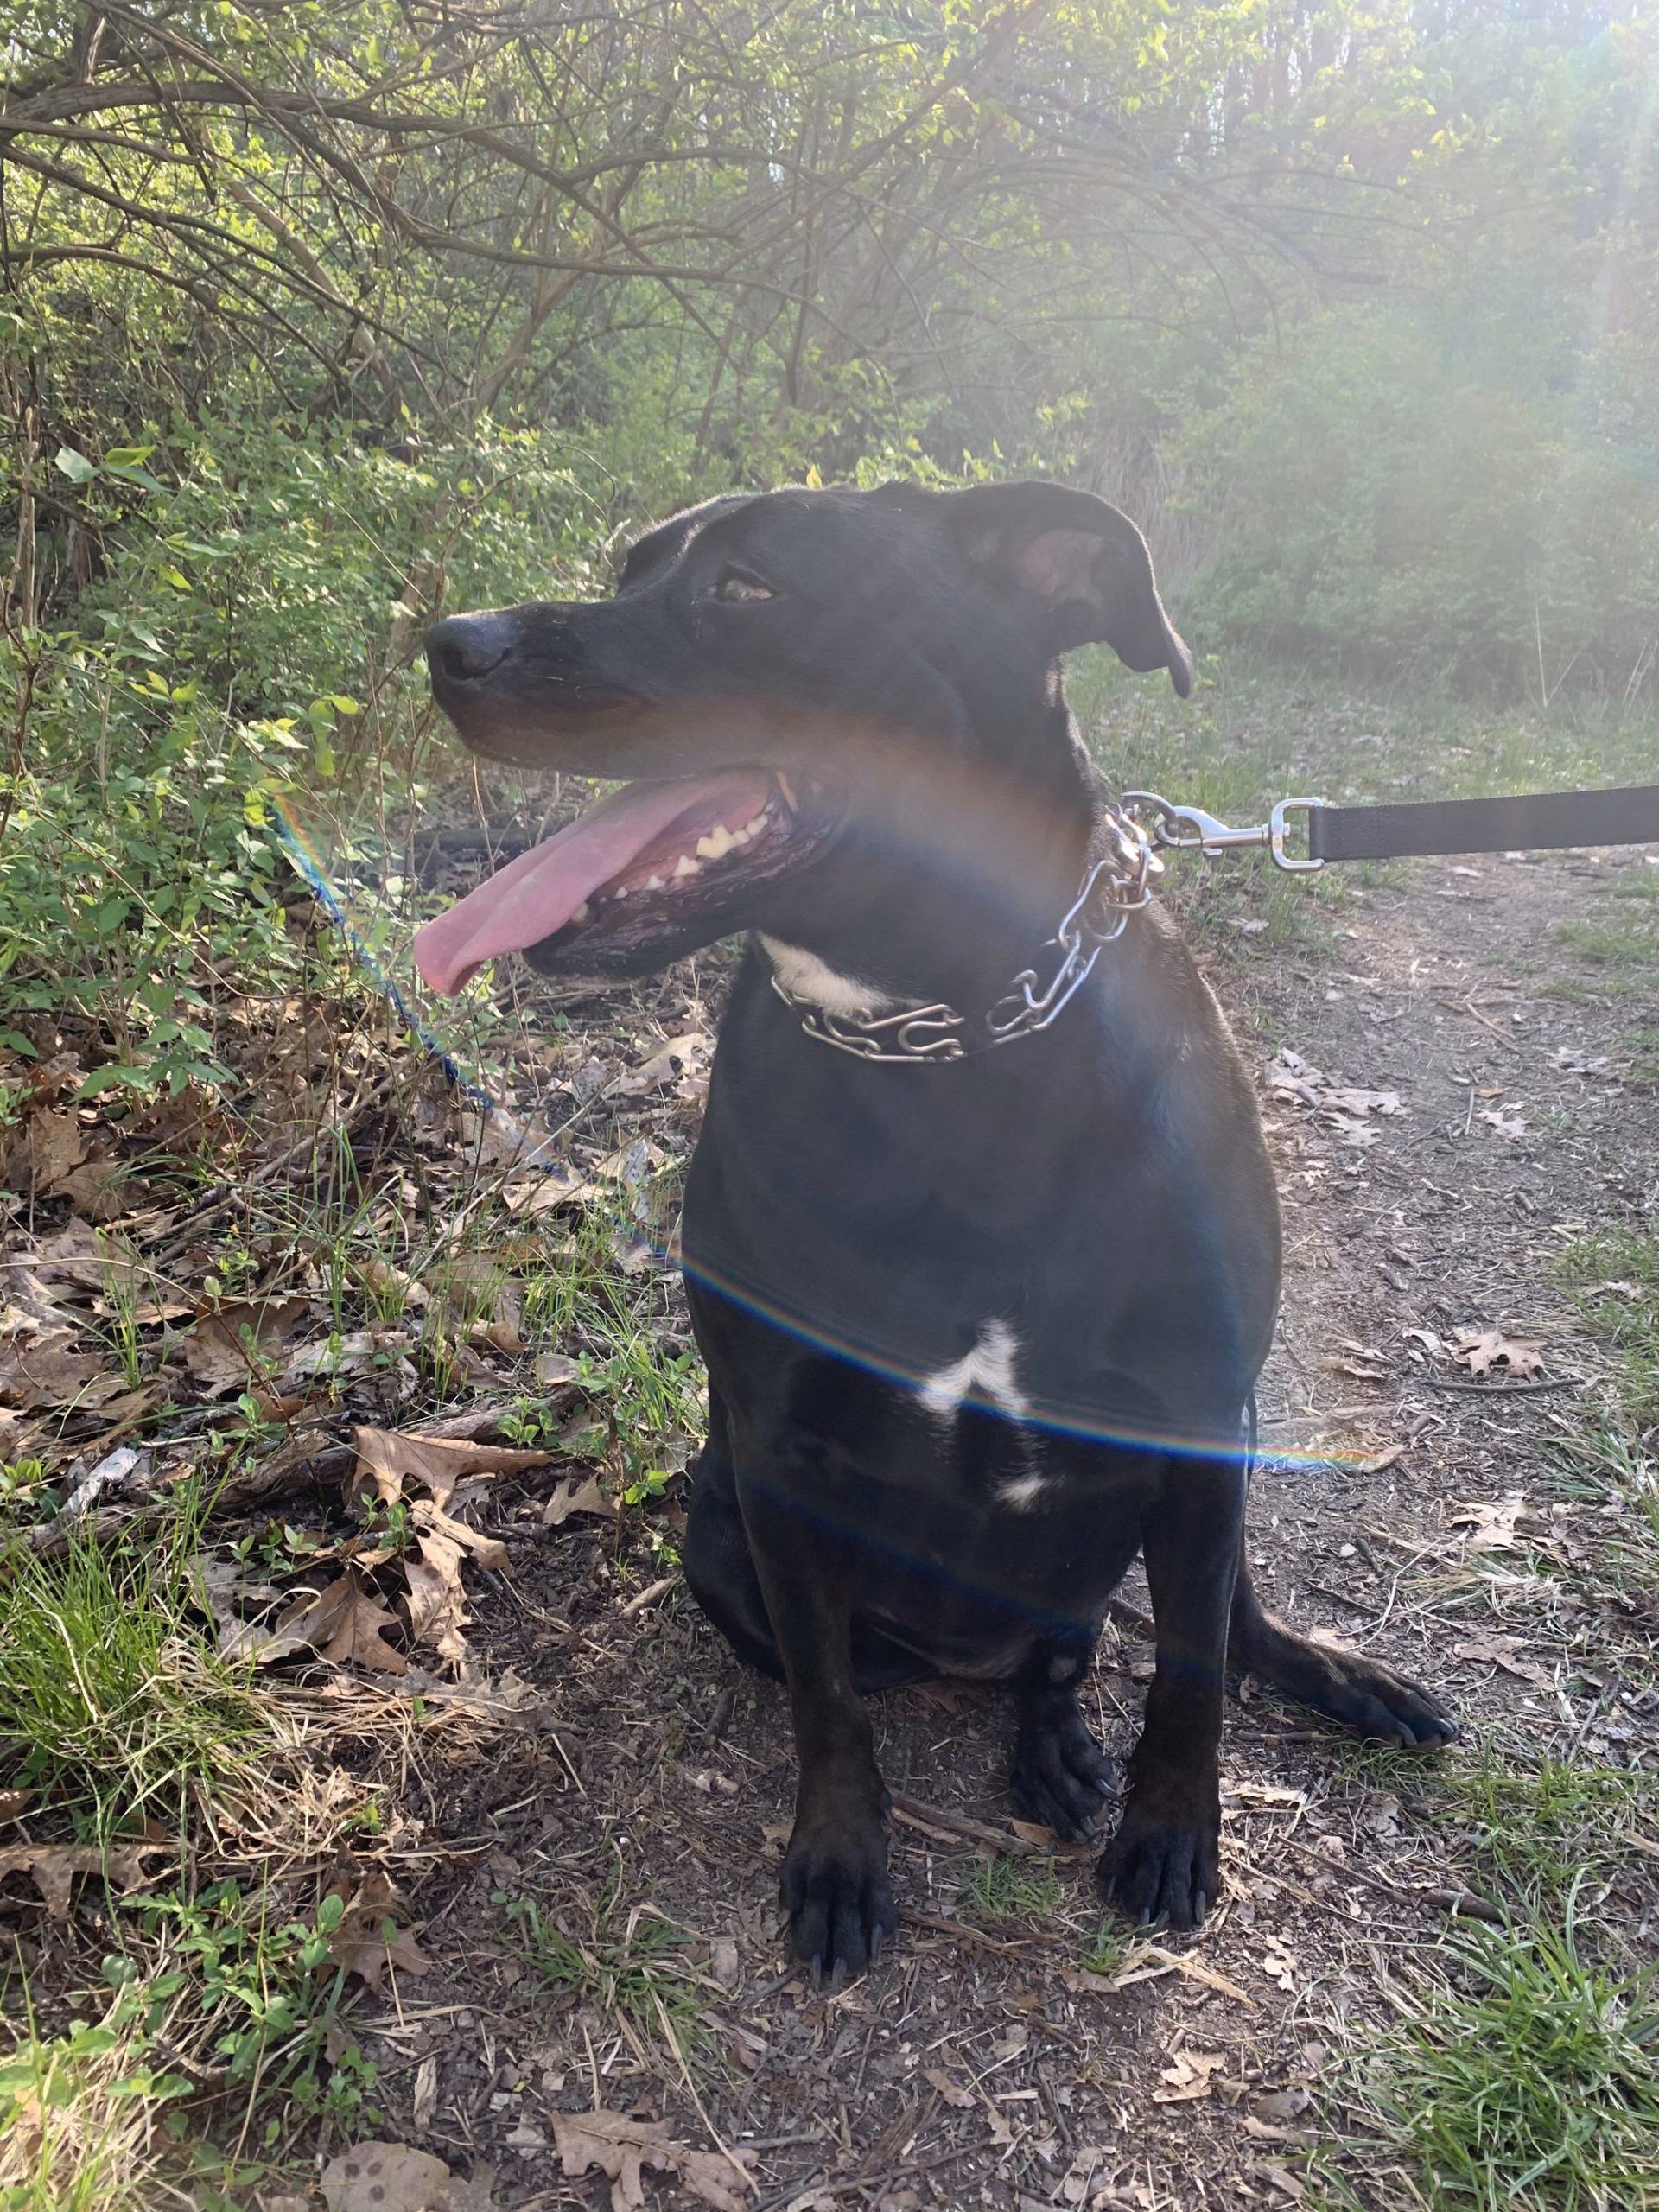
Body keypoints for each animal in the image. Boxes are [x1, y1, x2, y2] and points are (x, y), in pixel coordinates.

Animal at [417, 484, 1451, 1991]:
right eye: (631, 566)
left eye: (746, 588)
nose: (449, 644)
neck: (949, 1039)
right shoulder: (779, 1451)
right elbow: (831, 1703)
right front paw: (841, 1861)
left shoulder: (1201, 1419)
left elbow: (1193, 1671)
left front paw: (1171, 1831)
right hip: (720, 1531)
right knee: (972, 1659)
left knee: (1193, 1627)